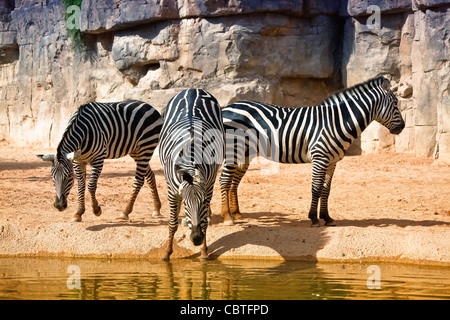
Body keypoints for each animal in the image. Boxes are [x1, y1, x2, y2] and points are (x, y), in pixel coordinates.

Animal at [158, 89, 225, 262]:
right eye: (186, 204)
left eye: (202, 203)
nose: (196, 239)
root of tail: (193, 90)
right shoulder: (172, 191)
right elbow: (172, 223)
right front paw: (167, 253)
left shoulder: (208, 186)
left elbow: (204, 222)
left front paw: (204, 252)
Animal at [220, 76, 406, 228]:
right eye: (395, 103)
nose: (403, 127)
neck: (337, 121)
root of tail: (227, 107)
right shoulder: (320, 157)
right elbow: (316, 188)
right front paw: (314, 218)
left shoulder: (332, 161)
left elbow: (326, 190)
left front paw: (327, 218)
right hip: (233, 149)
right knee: (224, 179)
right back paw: (227, 217)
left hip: (245, 152)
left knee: (234, 181)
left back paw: (236, 214)